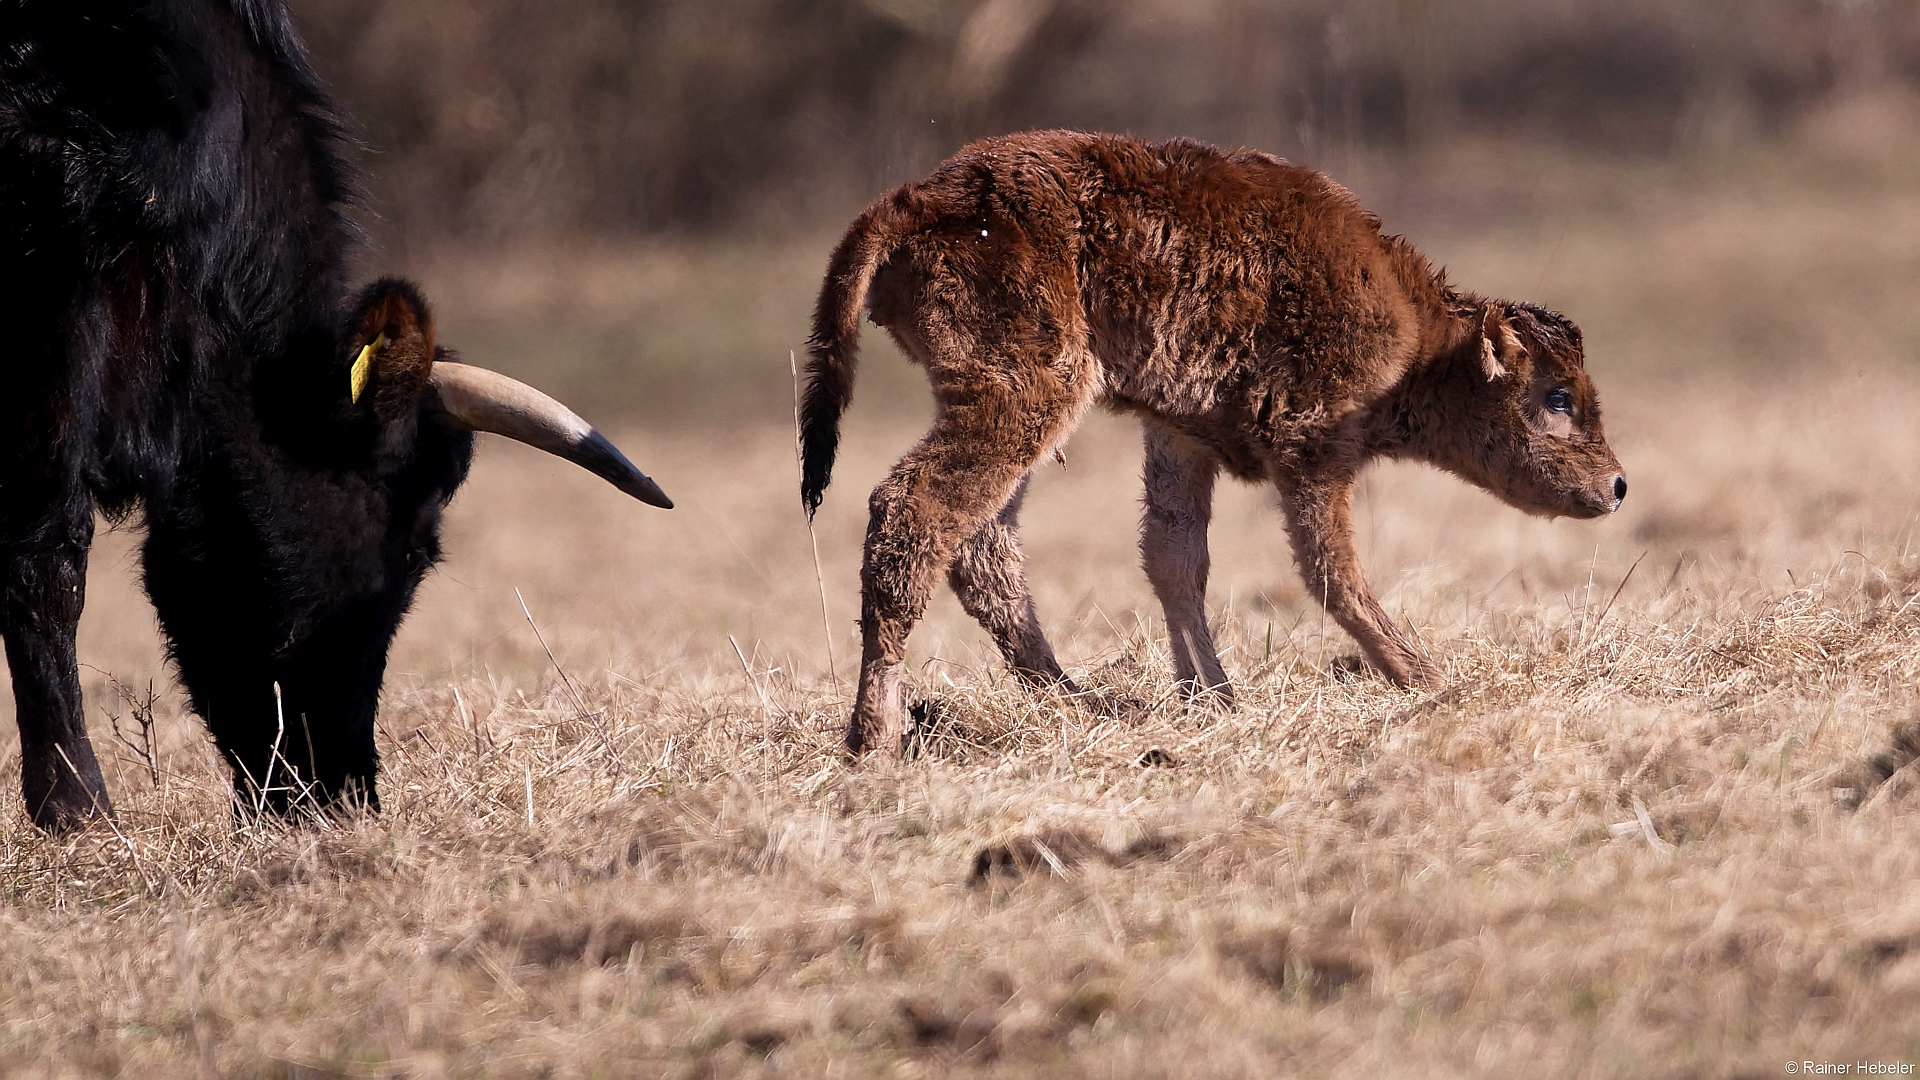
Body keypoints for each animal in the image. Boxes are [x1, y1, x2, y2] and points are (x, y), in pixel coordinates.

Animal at [802, 130, 1628, 753]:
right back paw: (875, 739)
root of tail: (910, 199)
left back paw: (1091, 706)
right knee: (915, 512)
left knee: (983, 547)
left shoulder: (1179, 436)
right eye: (1556, 396)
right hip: (1025, 395)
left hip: (1016, 408)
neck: (1421, 341)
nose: (1617, 485)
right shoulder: (1312, 449)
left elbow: (1176, 561)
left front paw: (1213, 696)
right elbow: (1331, 572)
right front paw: (1426, 678)